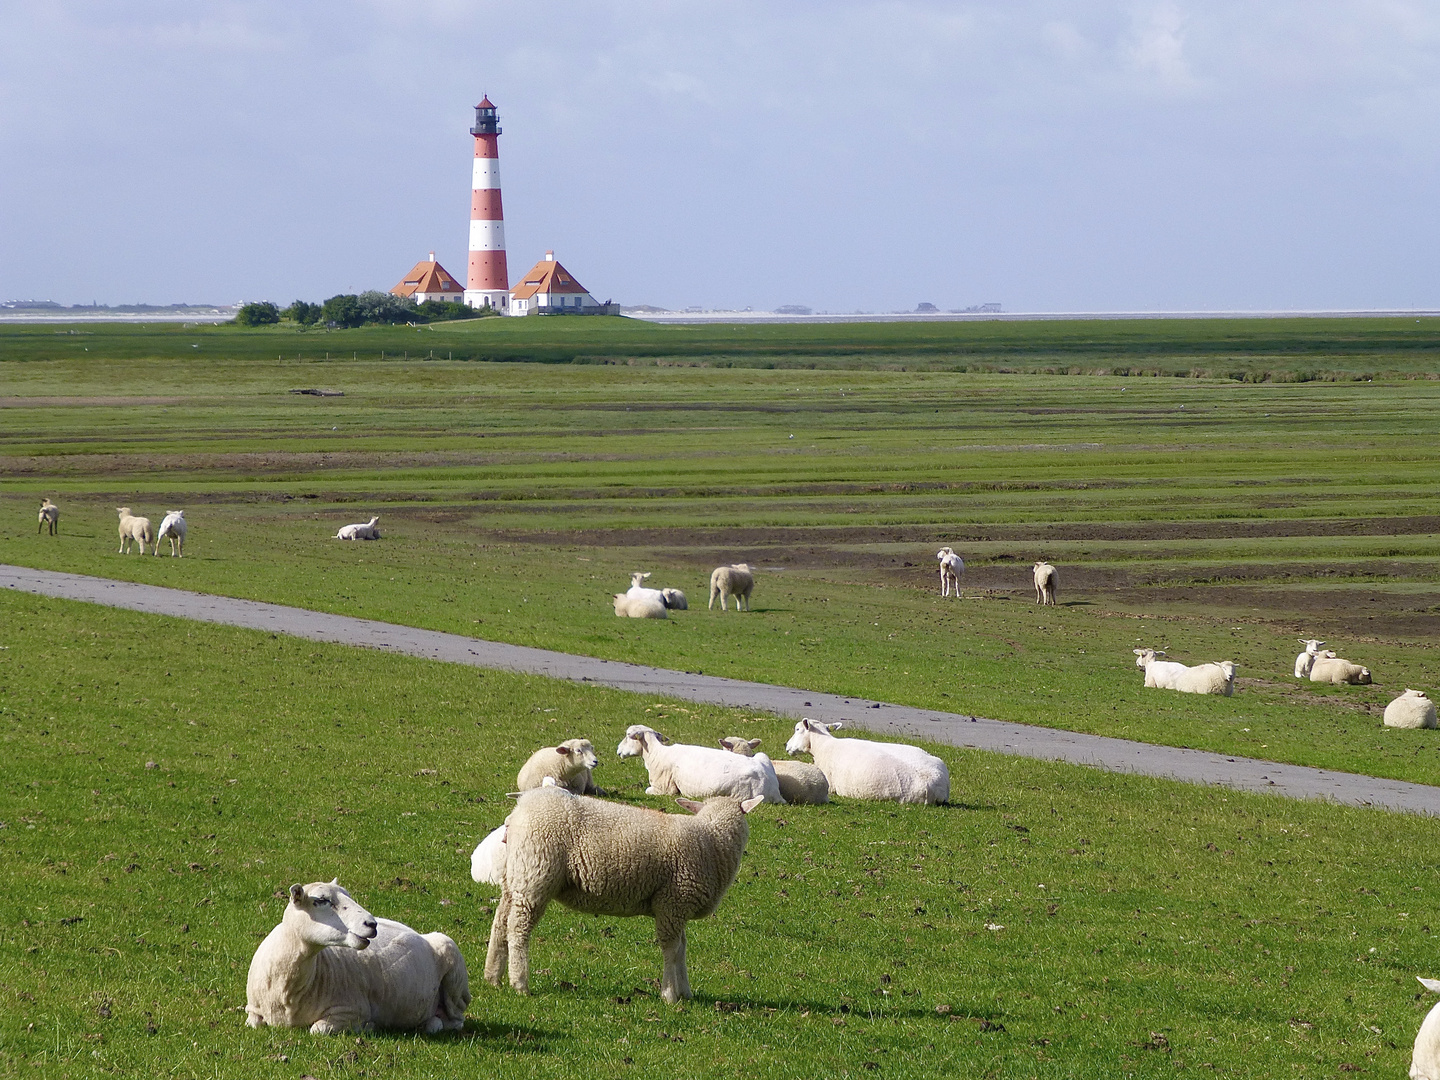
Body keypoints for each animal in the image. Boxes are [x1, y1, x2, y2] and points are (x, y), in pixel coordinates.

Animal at [244, 881, 469, 1042]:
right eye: (321, 900)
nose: (372, 923)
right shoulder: (252, 1010)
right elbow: (253, 1023)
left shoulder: (352, 1010)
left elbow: (318, 1029)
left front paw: (368, 1026)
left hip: (454, 971)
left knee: (456, 1020)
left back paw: (431, 1024)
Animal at [480, 789, 766, 1008]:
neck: (711, 840)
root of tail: (518, 811)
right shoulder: (672, 902)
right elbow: (671, 949)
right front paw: (670, 995)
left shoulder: (677, 908)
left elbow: (682, 949)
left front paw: (685, 991)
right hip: (535, 876)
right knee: (518, 929)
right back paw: (520, 983)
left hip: (515, 877)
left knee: (500, 923)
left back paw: (492, 977)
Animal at [613, 728, 783, 806]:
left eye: (628, 735)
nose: (618, 750)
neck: (656, 753)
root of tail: (773, 790)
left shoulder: (664, 789)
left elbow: (648, 790)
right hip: (762, 755)